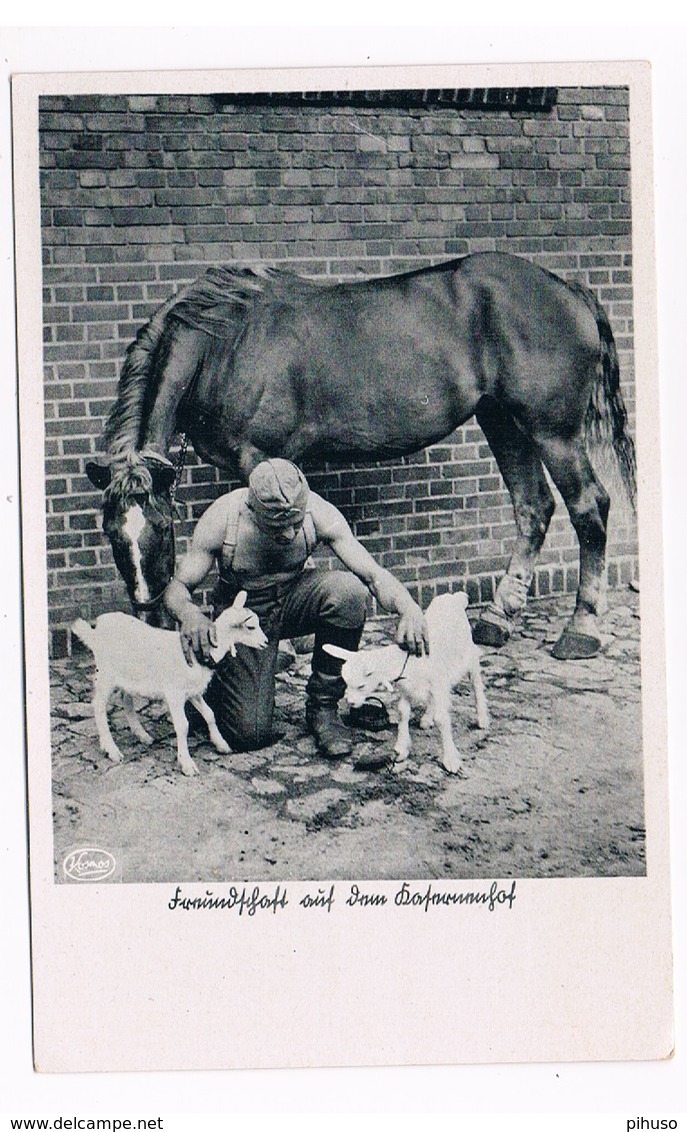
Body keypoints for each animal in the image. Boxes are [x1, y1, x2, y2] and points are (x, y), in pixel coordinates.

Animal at [86, 252, 638, 661]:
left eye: (161, 529)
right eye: (113, 533)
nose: (148, 614)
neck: (225, 341)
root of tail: (568, 289)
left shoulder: (263, 458)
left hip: (552, 430)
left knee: (589, 507)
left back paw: (582, 628)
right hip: (502, 420)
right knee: (533, 507)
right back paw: (497, 619)